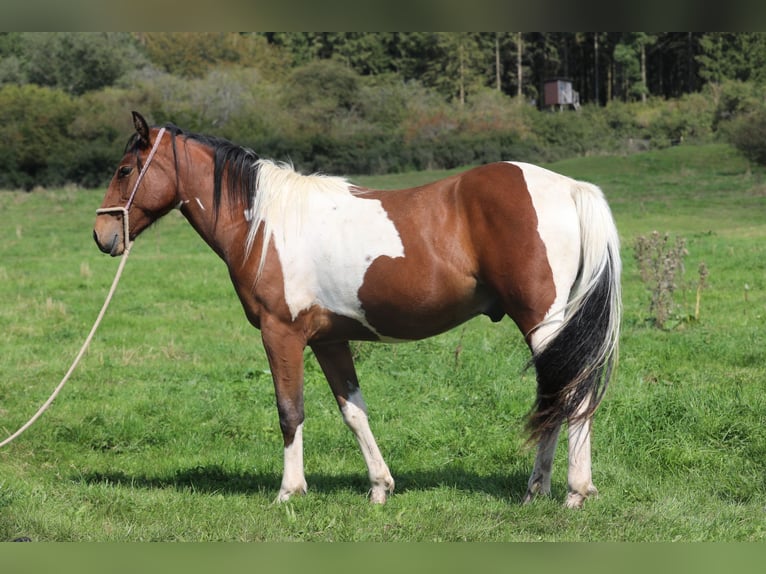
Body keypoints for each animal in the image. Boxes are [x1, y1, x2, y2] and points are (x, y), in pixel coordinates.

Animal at [94, 111, 621, 508]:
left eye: (124, 170)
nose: (103, 236)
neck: (263, 222)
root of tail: (571, 188)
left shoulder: (281, 334)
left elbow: (290, 411)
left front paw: (289, 492)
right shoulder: (330, 340)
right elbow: (354, 412)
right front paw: (380, 487)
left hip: (544, 322)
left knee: (570, 396)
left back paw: (574, 492)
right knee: (556, 397)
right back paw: (537, 490)